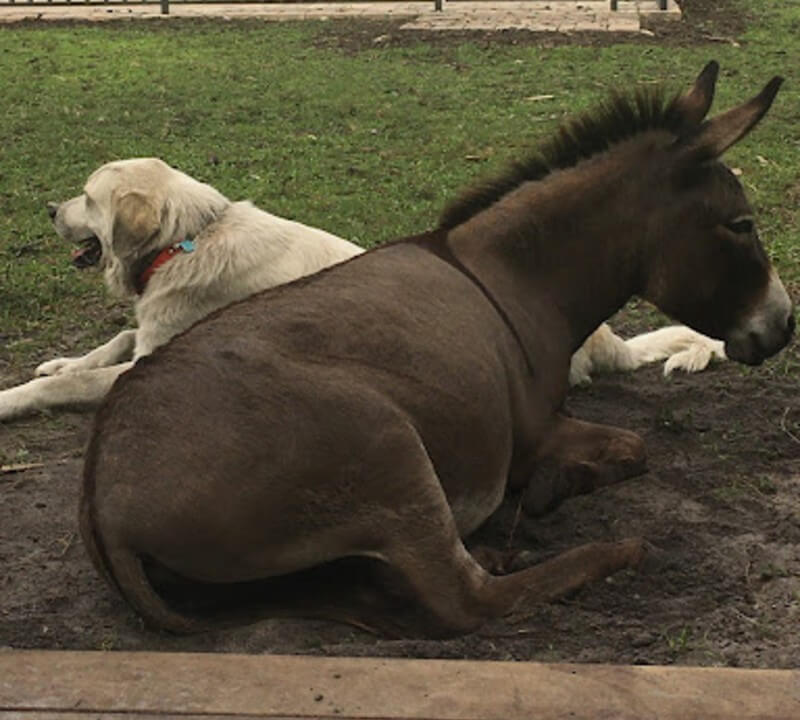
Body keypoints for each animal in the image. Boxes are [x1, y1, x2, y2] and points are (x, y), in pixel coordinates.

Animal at [0, 155, 724, 420]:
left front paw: (16, 397)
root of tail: (604, 338)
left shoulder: (155, 360)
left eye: (86, 198)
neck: (189, 237)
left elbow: (71, 383)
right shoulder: (148, 333)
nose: (48, 209)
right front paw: (61, 358)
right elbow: (111, 342)